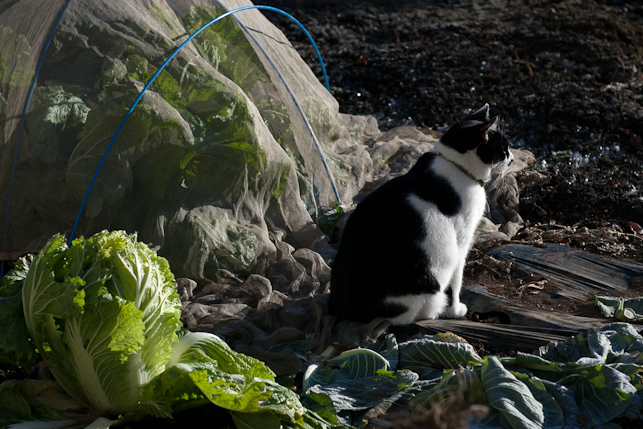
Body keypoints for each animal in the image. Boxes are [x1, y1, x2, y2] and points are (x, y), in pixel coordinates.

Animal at [330, 103, 516, 324]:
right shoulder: (461, 241)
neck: (455, 165)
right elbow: (456, 282)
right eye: (504, 148)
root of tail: (345, 312)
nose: (512, 159)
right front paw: (455, 310)